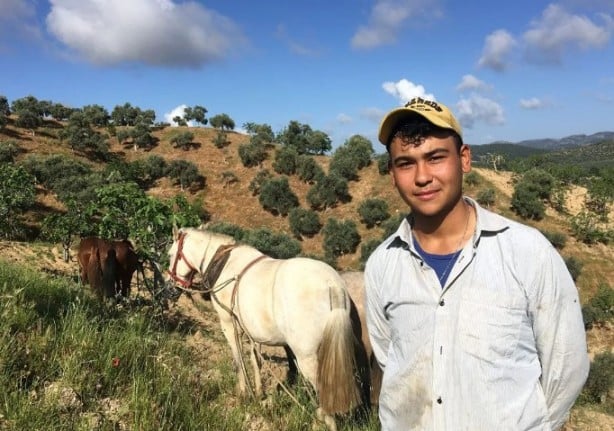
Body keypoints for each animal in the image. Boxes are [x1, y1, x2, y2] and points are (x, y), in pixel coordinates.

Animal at [166, 228, 366, 430]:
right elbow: (256, 360)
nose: (170, 285)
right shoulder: (253, 331)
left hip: (307, 357)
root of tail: (332, 284)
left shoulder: (228, 323)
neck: (224, 263)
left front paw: (243, 393)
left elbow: (238, 360)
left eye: (170, 255)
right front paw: (259, 392)